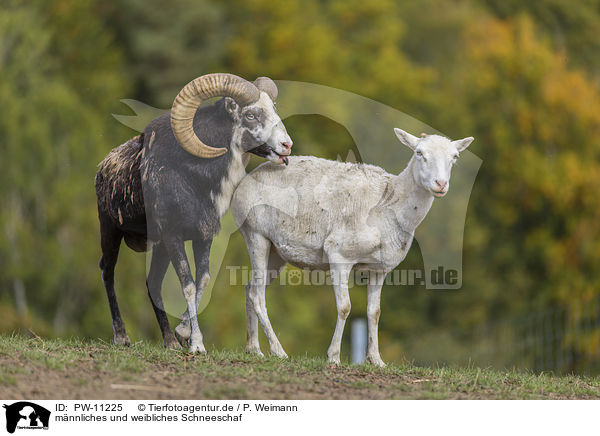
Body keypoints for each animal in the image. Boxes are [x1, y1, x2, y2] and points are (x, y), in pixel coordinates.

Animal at [230, 127, 474, 366]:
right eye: (419, 153)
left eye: (454, 157)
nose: (440, 184)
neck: (389, 206)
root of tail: (244, 182)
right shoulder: (338, 253)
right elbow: (345, 307)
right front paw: (333, 356)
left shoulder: (380, 268)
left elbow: (374, 312)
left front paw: (376, 360)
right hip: (255, 234)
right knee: (257, 295)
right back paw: (278, 351)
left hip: (276, 251)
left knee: (250, 287)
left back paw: (253, 349)